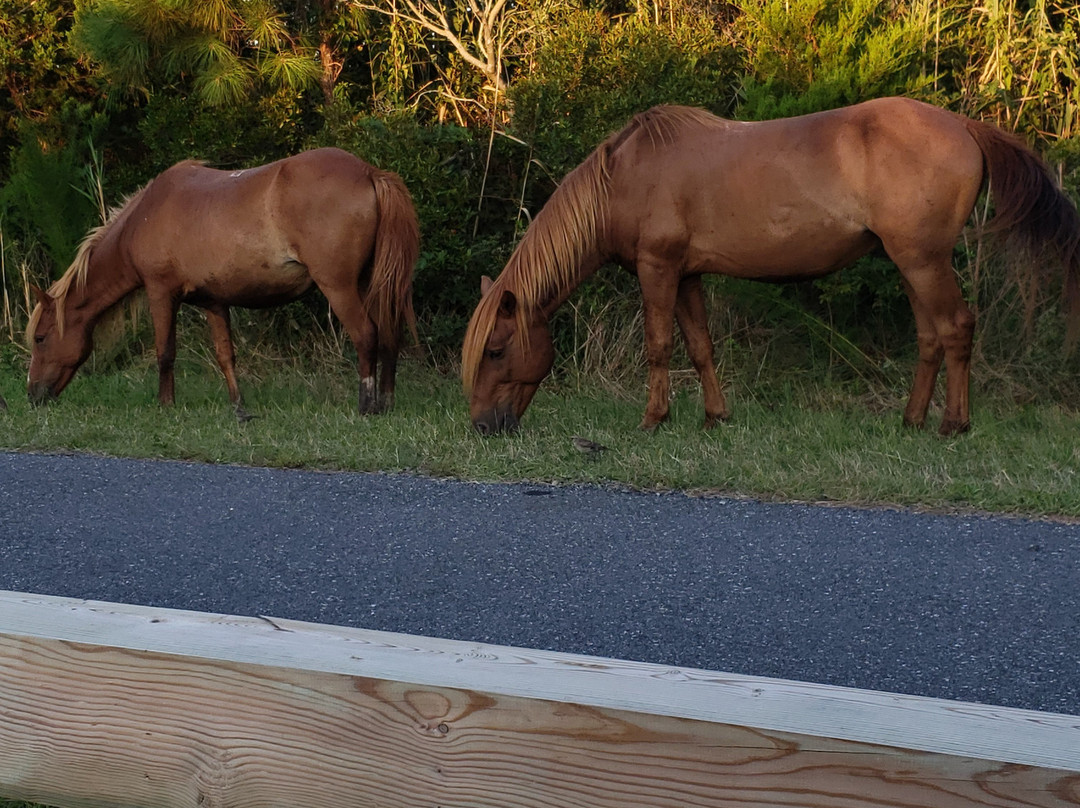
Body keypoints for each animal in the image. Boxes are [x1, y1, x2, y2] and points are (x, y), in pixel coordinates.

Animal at [28, 145, 416, 419]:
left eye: (40, 338)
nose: (32, 395)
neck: (145, 216)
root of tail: (369, 172)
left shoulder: (160, 293)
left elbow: (165, 352)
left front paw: (165, 405)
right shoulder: (214, 302)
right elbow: (225, 355)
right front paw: (239, 407)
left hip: (339, 287)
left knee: (366, 334)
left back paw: (367, 405)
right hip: (368, 284)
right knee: (389, 334)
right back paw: (387, 401)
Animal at [464, 97, 1080, 436]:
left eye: (496, 349)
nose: (483, 427)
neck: (624, 178)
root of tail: (965, 126)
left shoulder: (657, 268)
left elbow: (659, 346)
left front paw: (653, 420)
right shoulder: (686, 274)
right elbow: (701, 347)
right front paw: (715, 418)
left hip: (924, 262)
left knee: (955, 329)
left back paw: (953, 426)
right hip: (912, 264)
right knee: (931, 338)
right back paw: (910, 422)